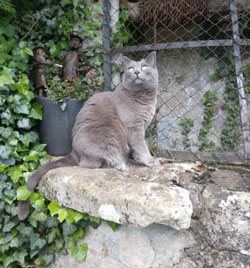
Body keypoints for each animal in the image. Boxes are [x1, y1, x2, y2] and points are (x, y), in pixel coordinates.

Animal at [18, 51, 158, 220]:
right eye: (131, 68)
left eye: (144, 67)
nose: (136, 72)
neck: (143, 97)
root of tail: (74, 151)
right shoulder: (134, 127)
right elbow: (141, 145)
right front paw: (150, 160)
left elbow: (139, 147)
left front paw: (140, 159)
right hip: (106, 133)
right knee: (92, 163)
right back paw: (119, 164)